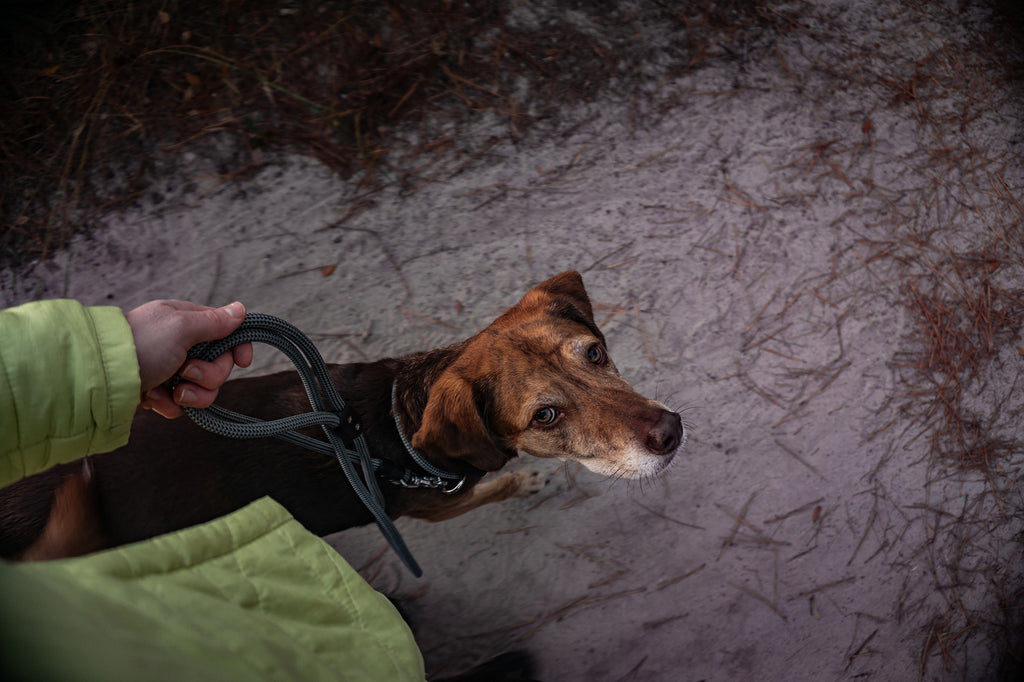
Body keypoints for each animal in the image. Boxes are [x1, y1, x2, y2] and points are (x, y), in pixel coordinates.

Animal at [2, 268, 688, 561]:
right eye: (544, 415)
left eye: (595, 352)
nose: (670, 432)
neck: (396, 428)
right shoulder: (434, 508)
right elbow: (492, 489)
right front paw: (527, 481)